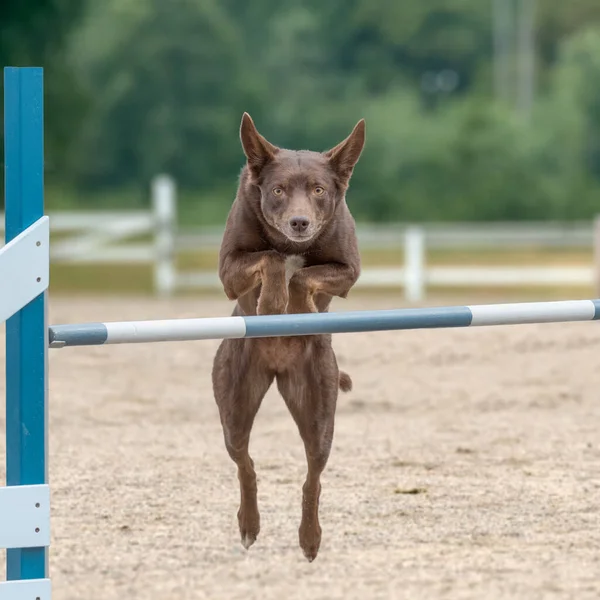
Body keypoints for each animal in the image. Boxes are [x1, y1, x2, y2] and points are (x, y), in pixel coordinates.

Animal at [214, 113, 366, 564]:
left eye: (318, 190)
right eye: (278, 190)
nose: (300, 222)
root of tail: (278, 369)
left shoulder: (349, 270)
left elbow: (302, 273)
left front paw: (294, 304)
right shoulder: (228, 271)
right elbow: (273, 259)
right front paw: (272, 302)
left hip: (318, 411)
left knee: (312, 476)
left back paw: (310, 538)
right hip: (234, 407)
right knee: (245, 463)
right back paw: (249, 525)